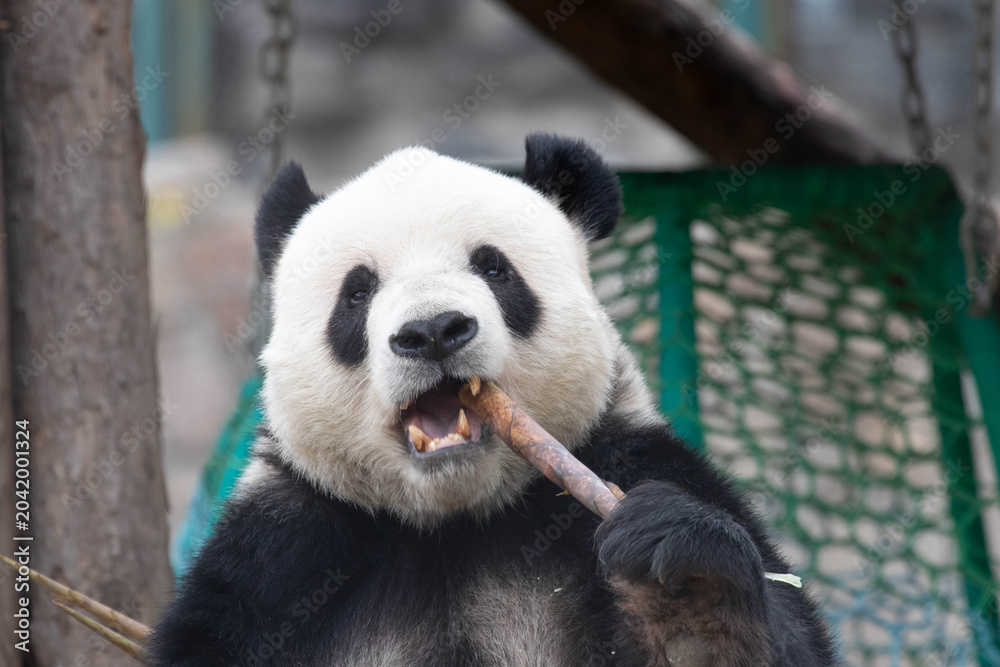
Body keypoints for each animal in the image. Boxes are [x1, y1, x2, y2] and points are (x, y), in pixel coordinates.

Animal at [150, 134, 836, 666]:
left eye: (493, 268)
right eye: (357, 292)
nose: (432, 331)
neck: (453, 521)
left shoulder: (629, 457)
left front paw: (688, 582)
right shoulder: (281, 558)